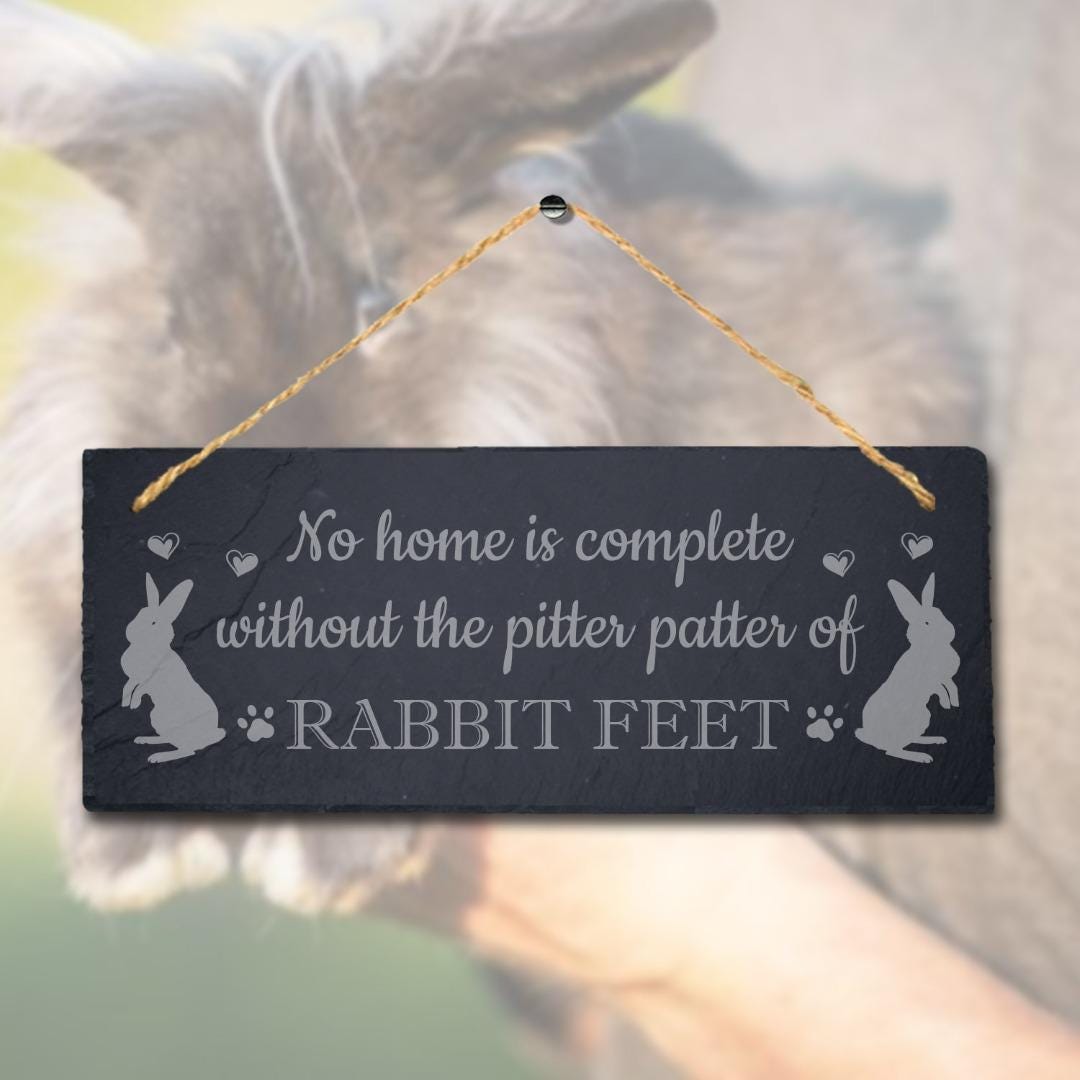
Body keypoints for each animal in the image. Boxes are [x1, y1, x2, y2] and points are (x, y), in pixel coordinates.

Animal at [120, 573, 226, 763]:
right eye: (139, 613)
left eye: (153, 622)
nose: (129, 631)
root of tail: (209, 735)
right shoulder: (134, 678)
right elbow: (128, 686)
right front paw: (126, 703)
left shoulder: (152, 680)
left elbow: (140, 689)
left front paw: (134, 704)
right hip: (158, 719)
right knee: (169, 739)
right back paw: (144, 739)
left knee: (187, 751)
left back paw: (158, 756)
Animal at [855, 573, 959, 764]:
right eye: (927, 623)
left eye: (941, 613)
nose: (951, 631)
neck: (931, 647)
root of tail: (870, 736)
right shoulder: (930, 681)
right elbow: (940, 689)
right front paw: (945, 703)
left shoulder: (945, 678)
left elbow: (952, 686)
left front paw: (953, 703)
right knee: (893, 751)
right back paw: (922, 757)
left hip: (923, 718)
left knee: (910, 740)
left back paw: (935, 739)